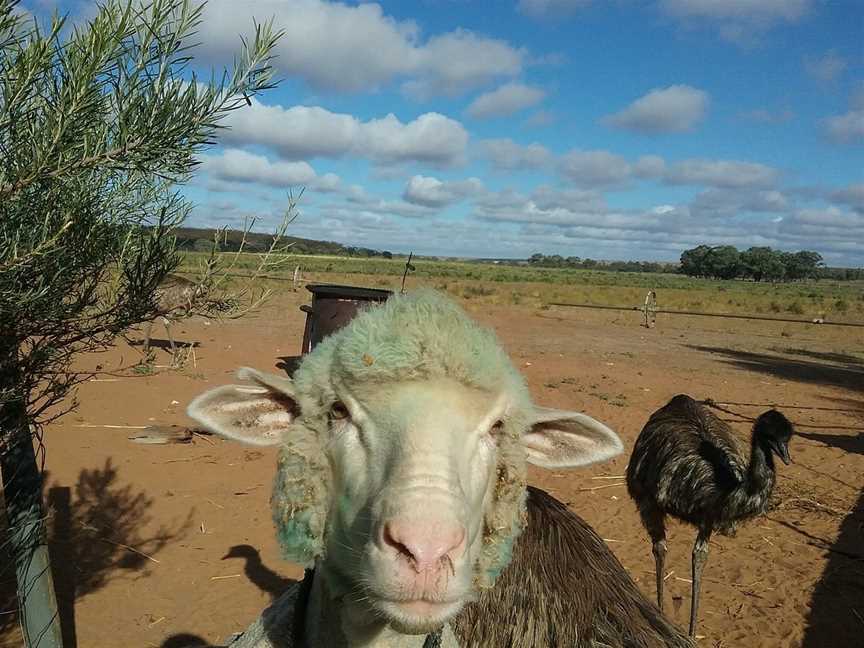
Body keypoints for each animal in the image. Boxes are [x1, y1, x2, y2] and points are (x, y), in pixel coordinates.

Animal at [624, 394, 792, 636]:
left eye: (788, 437)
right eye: (771, 435)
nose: (786, 456)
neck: (721, 489)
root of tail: (679, 399)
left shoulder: (708, 518)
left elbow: (700, 555)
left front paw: (692, 634)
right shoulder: (650, 501)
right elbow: (661, 548)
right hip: (643, 494)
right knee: (659, 548)